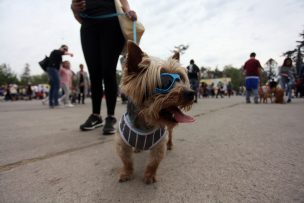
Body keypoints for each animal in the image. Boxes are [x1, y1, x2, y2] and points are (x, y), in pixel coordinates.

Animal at [116, 41, 195, 184]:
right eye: (165, 82)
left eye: (181, 79)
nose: (192, 93)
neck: (146, 123)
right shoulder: (122, 143)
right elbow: (126, 161)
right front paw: (126, 173)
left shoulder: (159, 145)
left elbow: (154, 162)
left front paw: (149, 176)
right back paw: (137, 148)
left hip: (169, 128)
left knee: (170, 133)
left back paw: (170, 144)